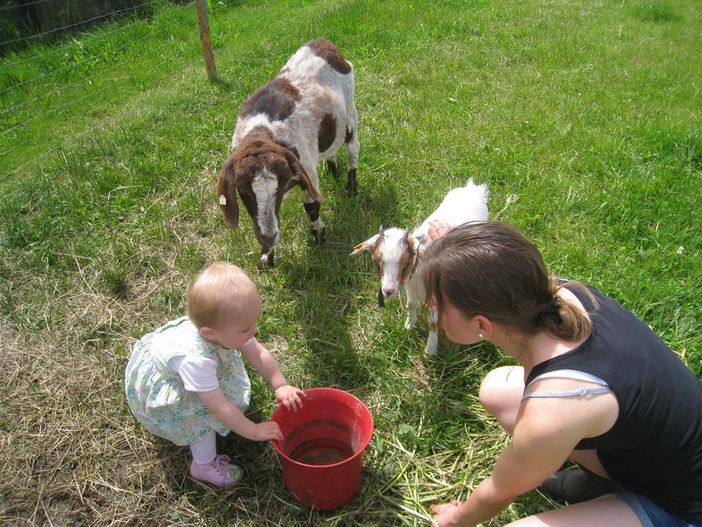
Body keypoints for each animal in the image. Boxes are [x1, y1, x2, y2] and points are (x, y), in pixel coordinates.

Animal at [217, 38, 360, 266]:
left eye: (280, 187)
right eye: (243, 191)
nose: (269, 237)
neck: (262, 130)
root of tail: (323, 43)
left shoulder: (306, 169)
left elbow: (311, 206)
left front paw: (319, 236)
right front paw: (266, 256)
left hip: (349, 108)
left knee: (352, 147)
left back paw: (352, 187)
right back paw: (333, 169)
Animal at [350, 179, 490, 356]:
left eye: (404, 262)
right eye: (377, 261)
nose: (388, 291)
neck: (420, 267)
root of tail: (474, 189)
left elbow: (433, 321)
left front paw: (430, 350)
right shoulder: (411, 284)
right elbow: (411, 304)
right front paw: (410, 324)